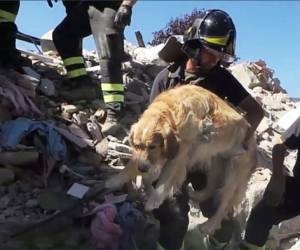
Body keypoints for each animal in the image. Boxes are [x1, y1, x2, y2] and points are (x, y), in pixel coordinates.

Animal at [105, 85, 255, 233]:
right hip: (215, 163)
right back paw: (197, 195)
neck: (170, 111)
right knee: (211, 186)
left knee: (224, 205)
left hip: (232, 176)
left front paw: (155, 199)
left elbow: (166, 179)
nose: (142, 169)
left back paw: (209, 225)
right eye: (136, 145)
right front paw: (114, 181)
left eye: (152, 146)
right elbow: (131, 166)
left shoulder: (180, 154)